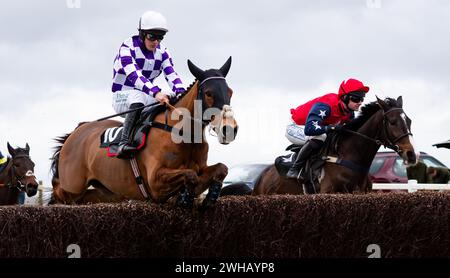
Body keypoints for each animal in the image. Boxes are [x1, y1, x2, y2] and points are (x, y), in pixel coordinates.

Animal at [49, 57, 239, 210]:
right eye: (208, 93)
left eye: (230, 92)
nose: (229, 129)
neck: (182, 134)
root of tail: (76, 132)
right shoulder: (155, 182)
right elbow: (190, 175)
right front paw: (184, 198)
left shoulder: (200, 170)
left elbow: (220, 168)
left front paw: (209, 196)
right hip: (72, 186)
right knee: (58, 191)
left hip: (108, 192)